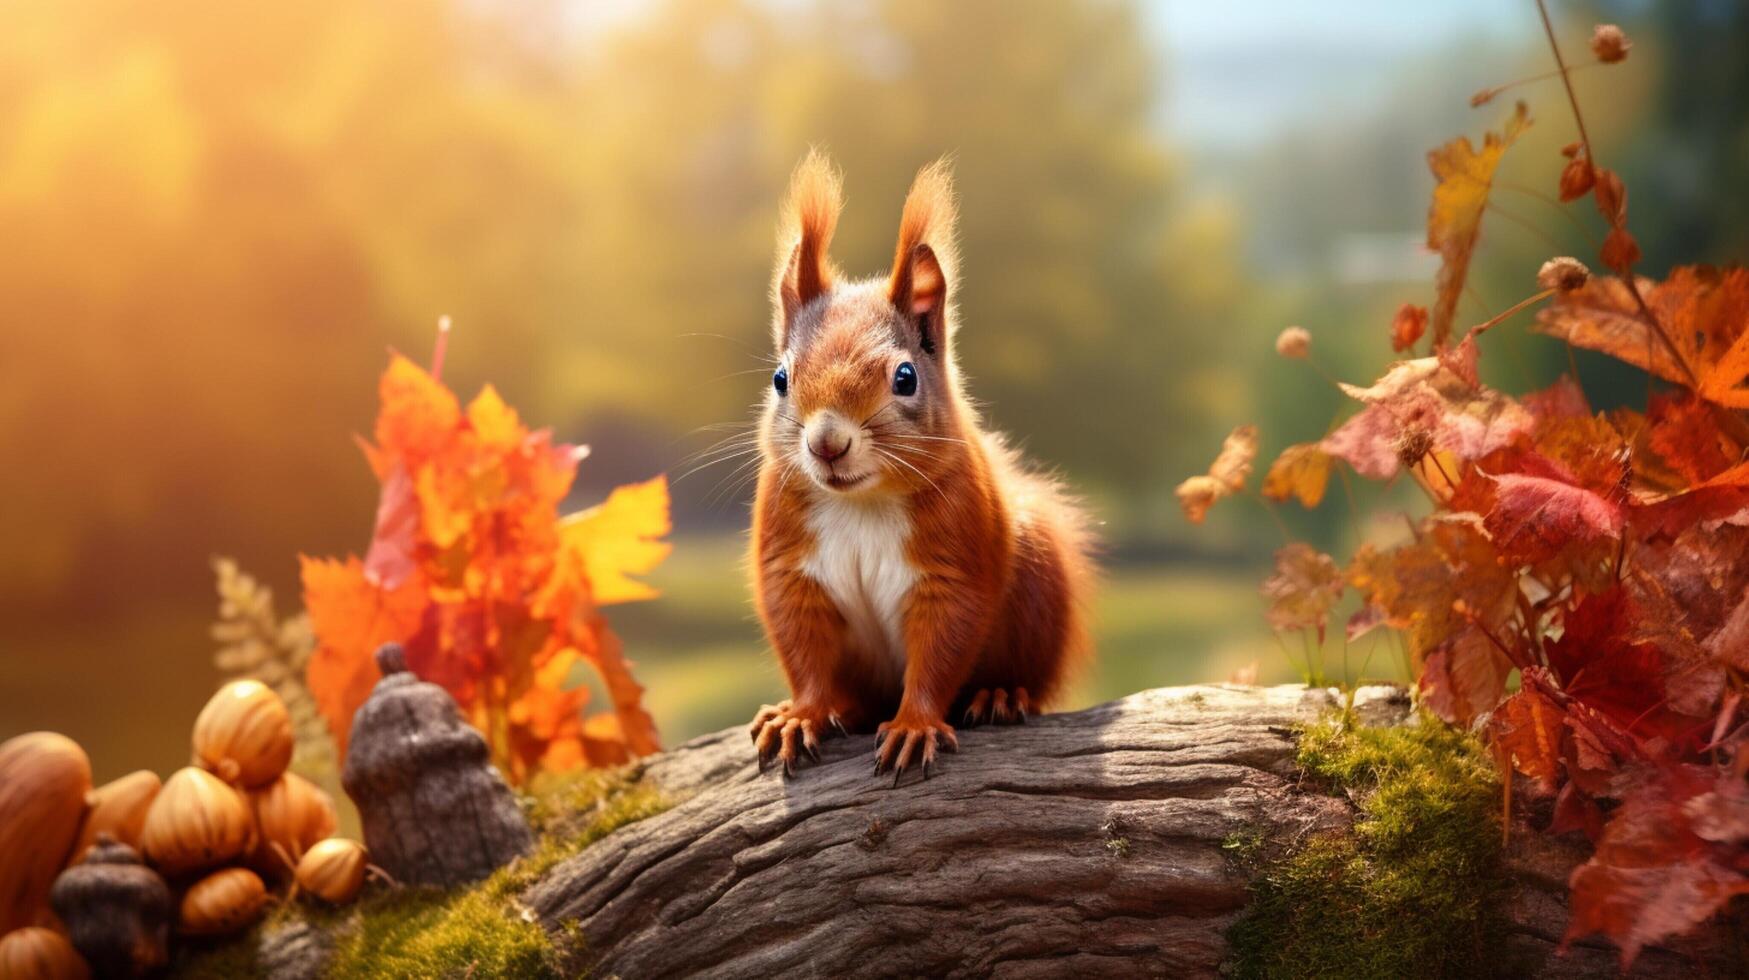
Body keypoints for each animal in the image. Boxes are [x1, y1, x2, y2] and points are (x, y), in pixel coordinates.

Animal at [748, 153, 1091, 780]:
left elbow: (942, 646)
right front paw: (801, 713)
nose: (826, 444)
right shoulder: (789, 565)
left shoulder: (953, 565)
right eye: (780, 378)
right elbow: (803, 648)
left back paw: (1000, 695)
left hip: (1038, 589)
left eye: (905, 377)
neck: (860, 504)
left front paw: (913, 725)